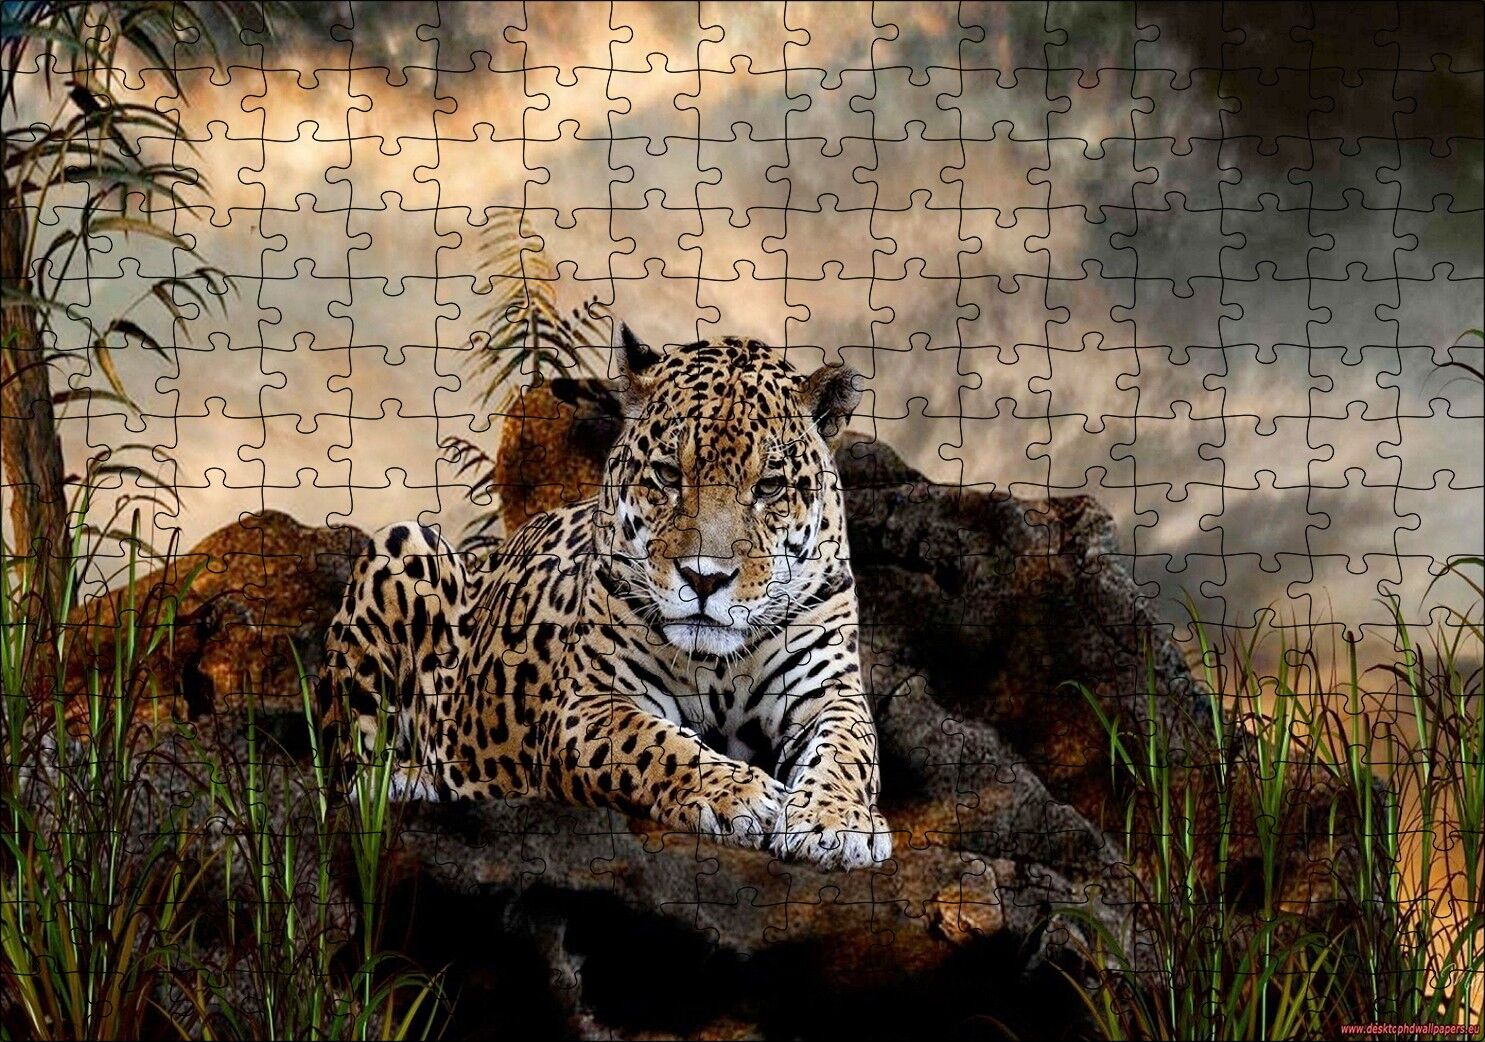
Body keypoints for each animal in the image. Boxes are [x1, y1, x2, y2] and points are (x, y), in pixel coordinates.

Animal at [318, 328, 891, 869]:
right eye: (668, 475)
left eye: (770, 487)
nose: (704, 578)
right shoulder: (590, 703)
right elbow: (661, 746)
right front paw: (742, 794)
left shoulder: (829, 690)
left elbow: (848, 750)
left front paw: (837, 824)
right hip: (402, 546)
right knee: (349, 772)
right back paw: (412, 782)